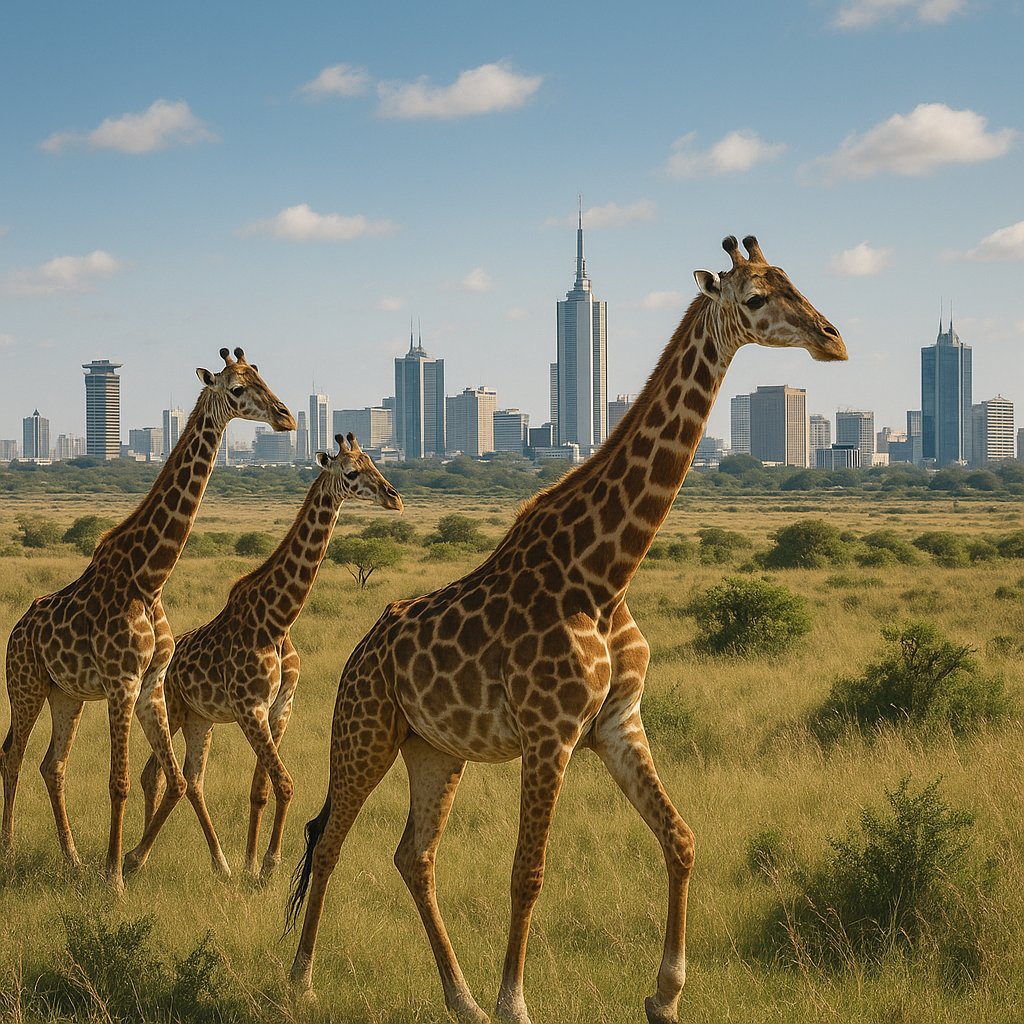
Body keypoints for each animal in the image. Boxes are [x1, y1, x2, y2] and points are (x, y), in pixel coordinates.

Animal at [1, 347, 295, 893]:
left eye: (262, 376)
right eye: (236, 389)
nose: (286, 417)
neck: (149, 578)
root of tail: (15, 630)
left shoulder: (152, 683)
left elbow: (175, 778)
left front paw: (125, 864)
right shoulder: (122, 681)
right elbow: (117, 782)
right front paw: (115, 878)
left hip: (66, 694)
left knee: (52, 765)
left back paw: (72, 858)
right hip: (24, 684)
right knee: (13, 755)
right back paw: (9, 851)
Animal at [131, 433, 403, 880]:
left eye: (374, 463)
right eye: (351, 472)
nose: (394, 498)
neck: (277, 622)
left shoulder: (280, 707)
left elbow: (263, 788)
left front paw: (254, 864)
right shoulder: (249, 707)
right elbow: (285, 782)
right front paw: (267, 865)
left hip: (201, 718)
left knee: (189, 779)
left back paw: (215, 862)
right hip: (173, 706)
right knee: (158, 775)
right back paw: (136, 855)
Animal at [286, 235, 847, 1024]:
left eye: (794, 280)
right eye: (757, 297)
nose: (833, 338)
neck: (605, 575)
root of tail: (360, 652)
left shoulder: (616, 722)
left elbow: (681, 838)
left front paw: (665, 995)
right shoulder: (549, 732)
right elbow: (528, 872)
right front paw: (516, 1004)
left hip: (432, 748)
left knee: (414, 855)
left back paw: (461, 999)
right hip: (364, 730)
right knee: (331, 836)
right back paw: (302, 980)